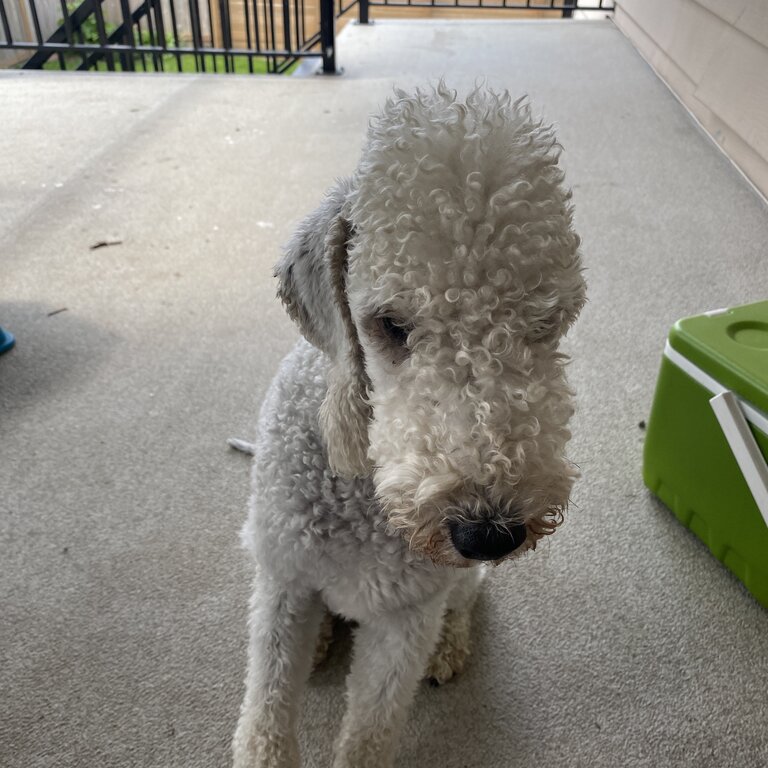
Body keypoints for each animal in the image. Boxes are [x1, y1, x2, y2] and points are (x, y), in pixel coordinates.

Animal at [231, 84, 584, 768]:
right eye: (390, 325)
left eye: (545, 322)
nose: (489, 534)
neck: (365, 491)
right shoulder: (283, 580)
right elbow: (266, 714)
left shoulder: (405, 617)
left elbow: (371, 729)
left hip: (456, 588)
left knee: (466, 602)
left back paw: (449, 648)